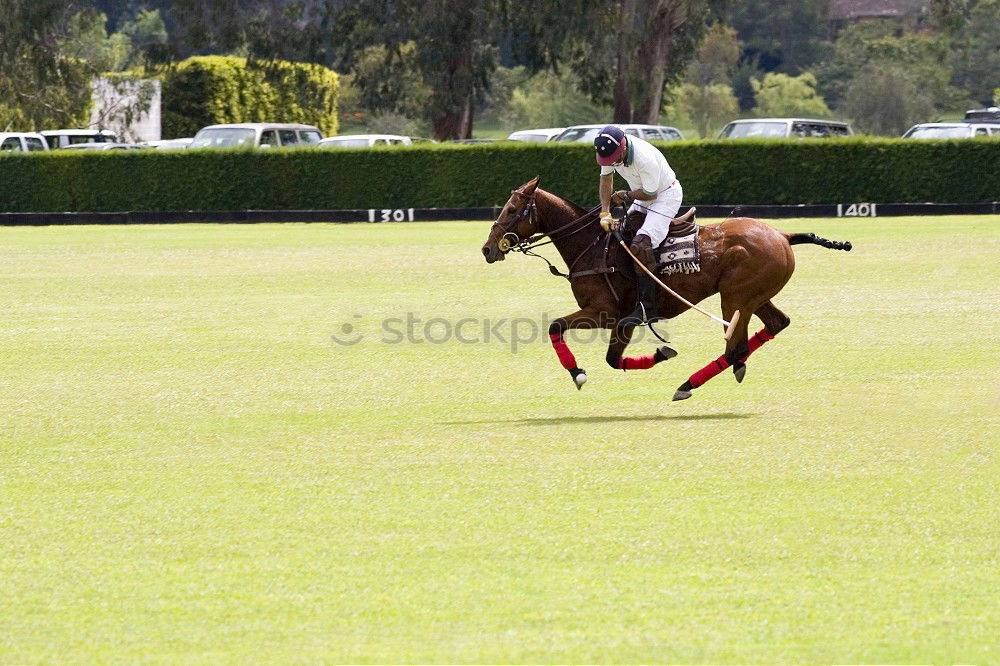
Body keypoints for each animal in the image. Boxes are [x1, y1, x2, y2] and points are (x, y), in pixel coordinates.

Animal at [480, 176, 848, 400]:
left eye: (512, 209)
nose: (487, 249)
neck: (591, 245)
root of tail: (783, 235)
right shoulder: (622, 320)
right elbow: (612, 358)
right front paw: (659, 352)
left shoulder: (605, 313)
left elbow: (557, 326)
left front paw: (577, 372)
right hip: (755, 296)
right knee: (775, 324)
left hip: (736, 297)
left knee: (736, 347)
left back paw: (687, 385)